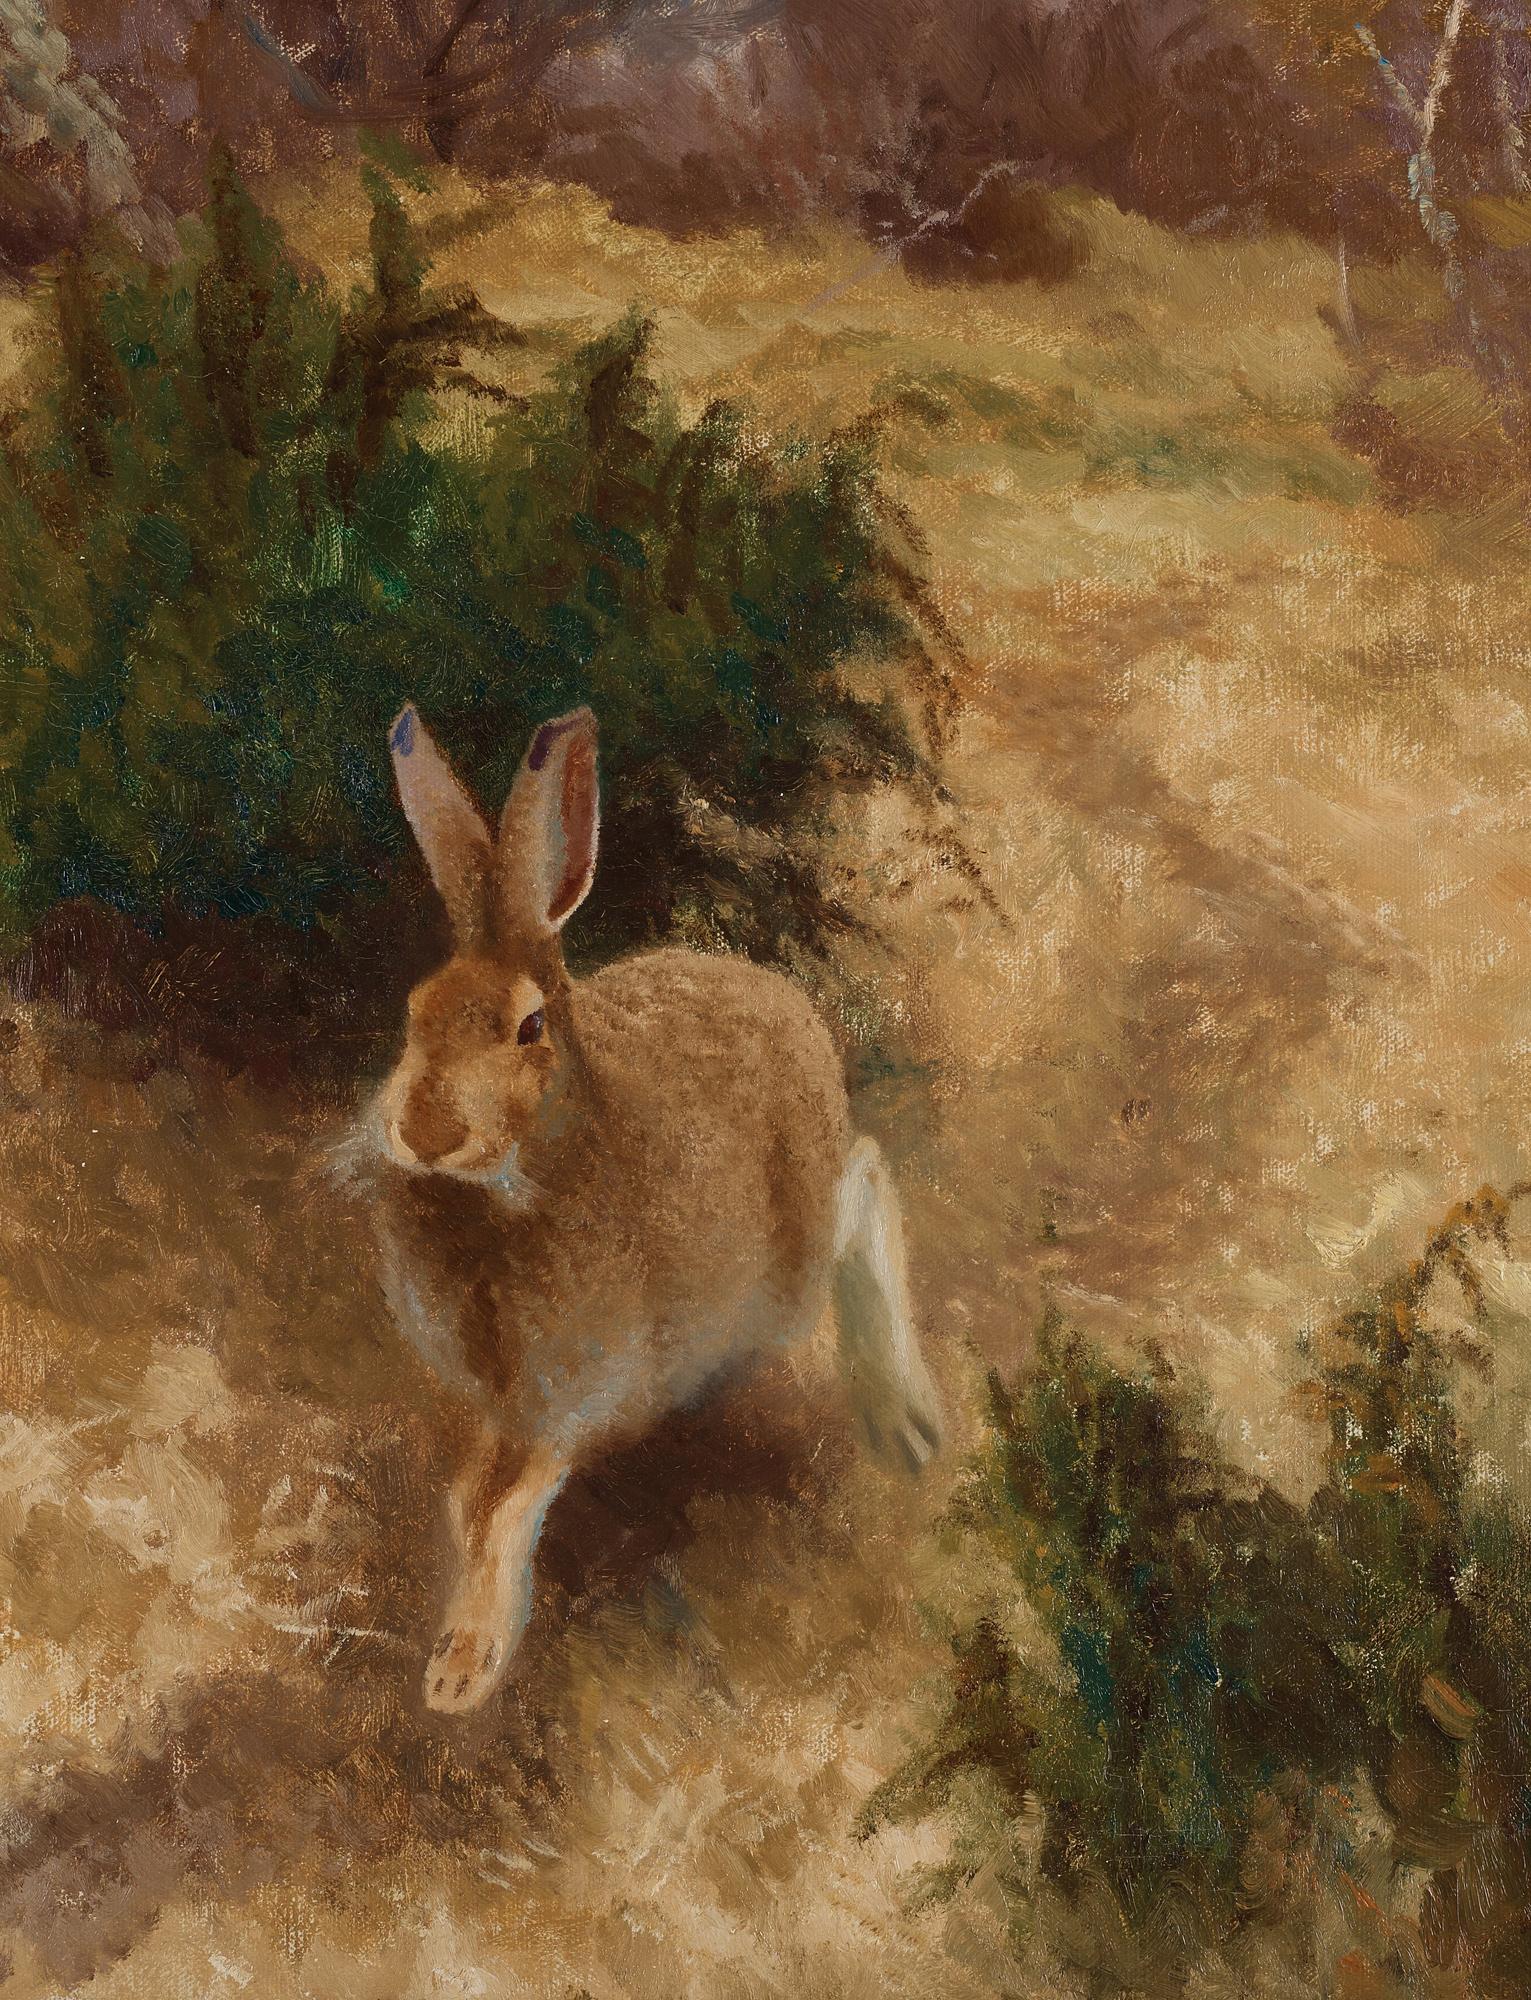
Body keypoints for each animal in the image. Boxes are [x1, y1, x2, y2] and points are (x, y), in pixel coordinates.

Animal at [360, 702, 943, 1714]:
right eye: (414, 1013)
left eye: (529, 1028)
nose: (423, 1133)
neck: (513, 1185)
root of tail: (780, 996)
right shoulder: (498, 1401)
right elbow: (467, 1498)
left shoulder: (574, 1391)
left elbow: (508, 1507)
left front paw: (464, 1669)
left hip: (789, 1266)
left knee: (868, 1183)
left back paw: (902, 1421)